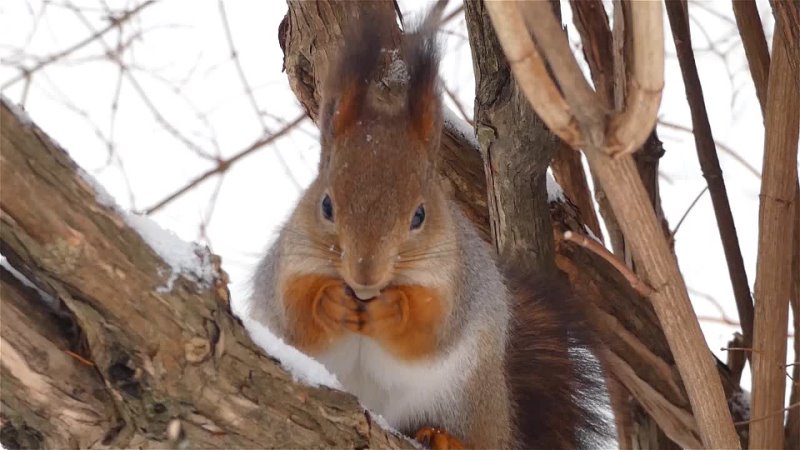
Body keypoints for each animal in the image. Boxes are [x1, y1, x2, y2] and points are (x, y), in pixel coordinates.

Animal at [250, 1, 612, 448]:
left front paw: (393, 310)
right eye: (326, 205)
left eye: (420, 215)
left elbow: (429, 329)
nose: (364, 276)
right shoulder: (286, 267)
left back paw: (440, 435)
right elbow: (295, 317)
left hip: (471, 403)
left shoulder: (458, 281)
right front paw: (330, 302)